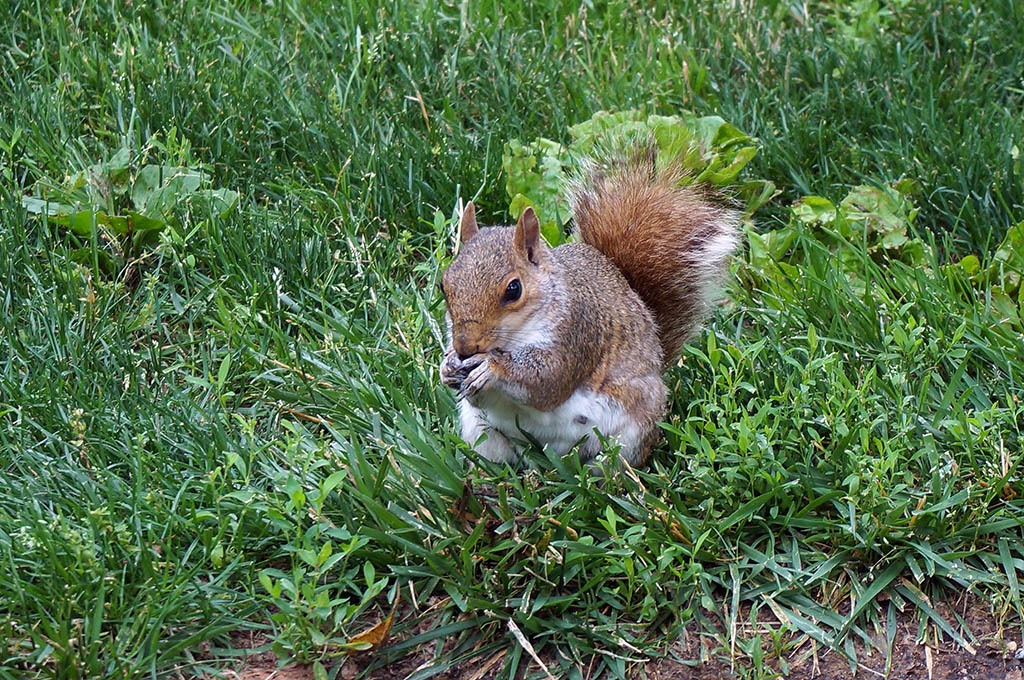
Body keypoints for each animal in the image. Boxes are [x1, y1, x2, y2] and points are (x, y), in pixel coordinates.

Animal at [436, 144, 741, 466]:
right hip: (481, 432)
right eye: (444, 285)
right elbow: (477, 396)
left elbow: (547, 381)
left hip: (632, 430)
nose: (465, 347)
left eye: (513, 289)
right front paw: (447, 366)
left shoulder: (578, 331)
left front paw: (492, 367)